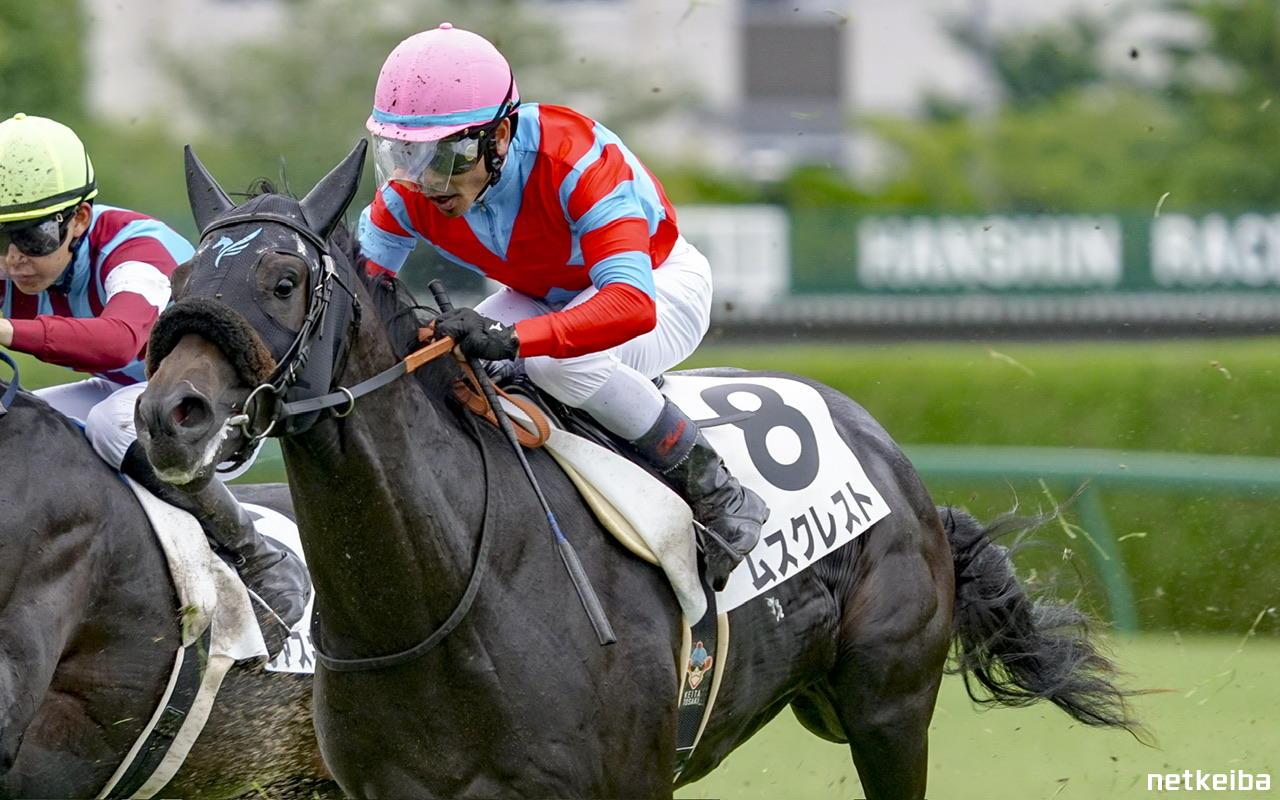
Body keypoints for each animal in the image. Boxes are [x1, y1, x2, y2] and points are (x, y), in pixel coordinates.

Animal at [135, 140, 1140, 799]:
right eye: (179, 279)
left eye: (282, 280)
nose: (167, 415)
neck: (443, 591)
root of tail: (900, 466)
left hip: (887, 712)